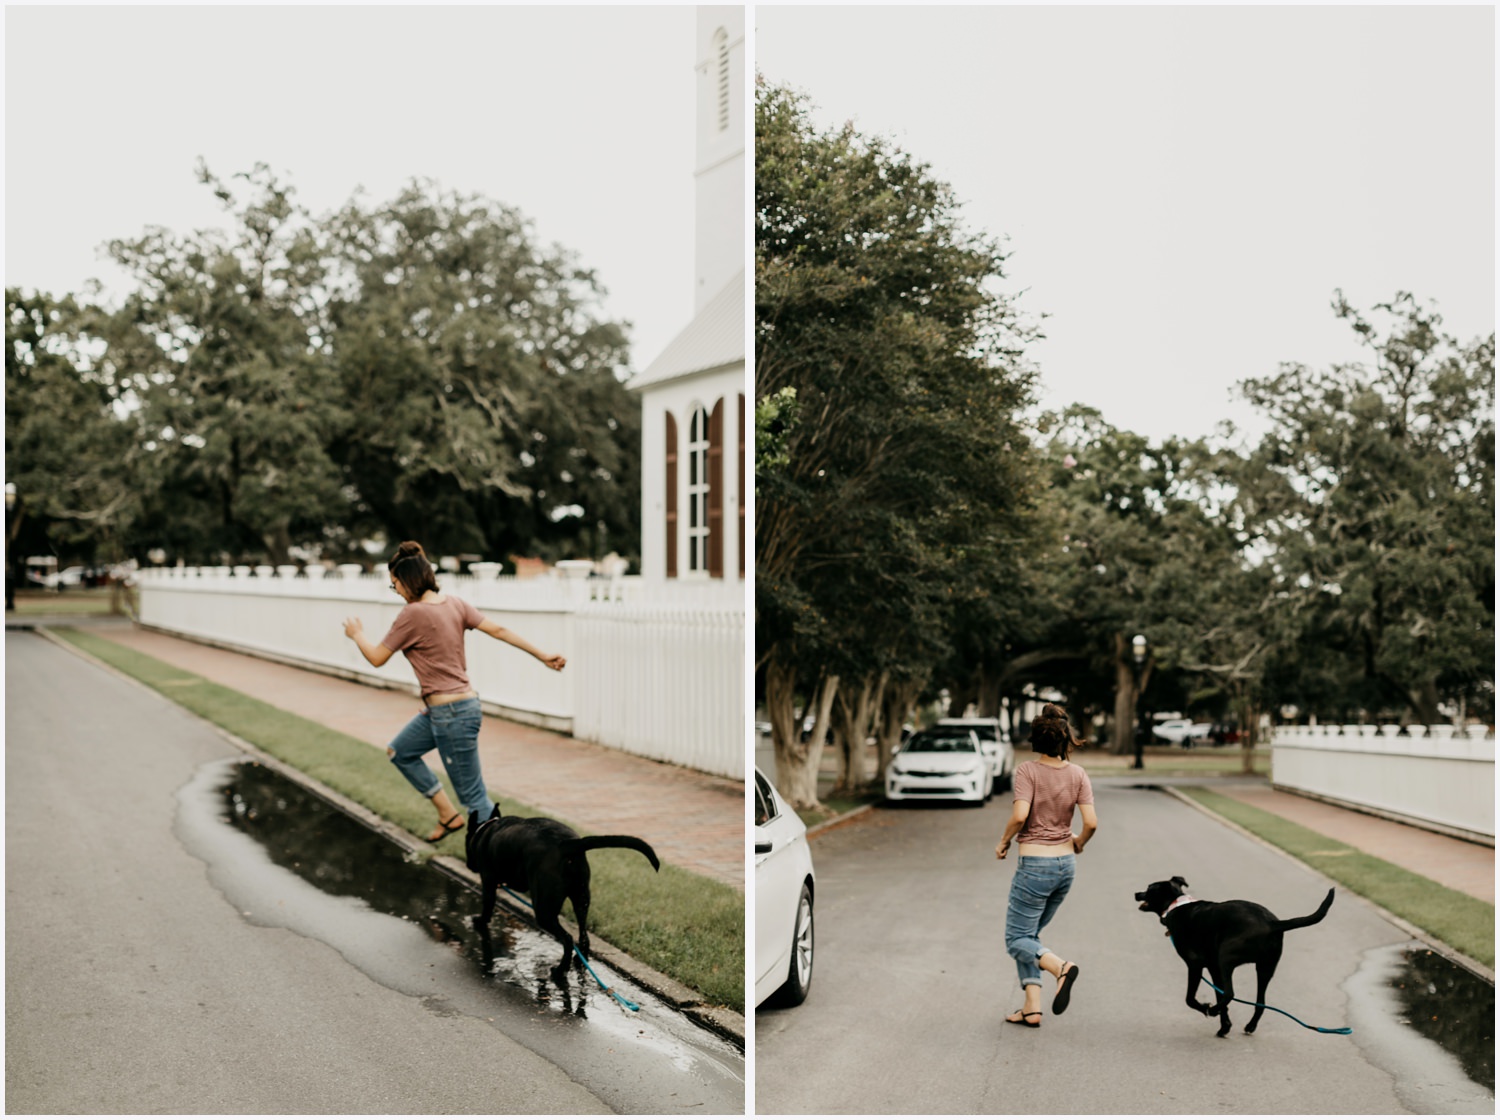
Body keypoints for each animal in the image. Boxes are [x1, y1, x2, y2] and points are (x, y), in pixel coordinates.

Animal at [465, 809, 660, 977]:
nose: (469, 864)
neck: (485, 829)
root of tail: (566, 844)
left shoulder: (488, 882)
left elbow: (487, 905)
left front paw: (480, 921)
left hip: (544, 911)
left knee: (567, 939)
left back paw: (560, 971)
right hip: (581, 900)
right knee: (583, 937)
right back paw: (578, 963)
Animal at [1134, 875, 1338, 1043]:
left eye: (1149, 888)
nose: (1136, 893)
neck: (1176, 905)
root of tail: (1272, 923)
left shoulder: (1195, 965)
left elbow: (1190, 998)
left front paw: (1208, 1009)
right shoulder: (1213, 968)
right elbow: (1219, 995)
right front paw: (1225, 1026)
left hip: (1226, 957)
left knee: (1230, 993)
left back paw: (1213, 1010)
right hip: (1264, 968)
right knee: (1259, 1003)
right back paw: (1249, 1026)